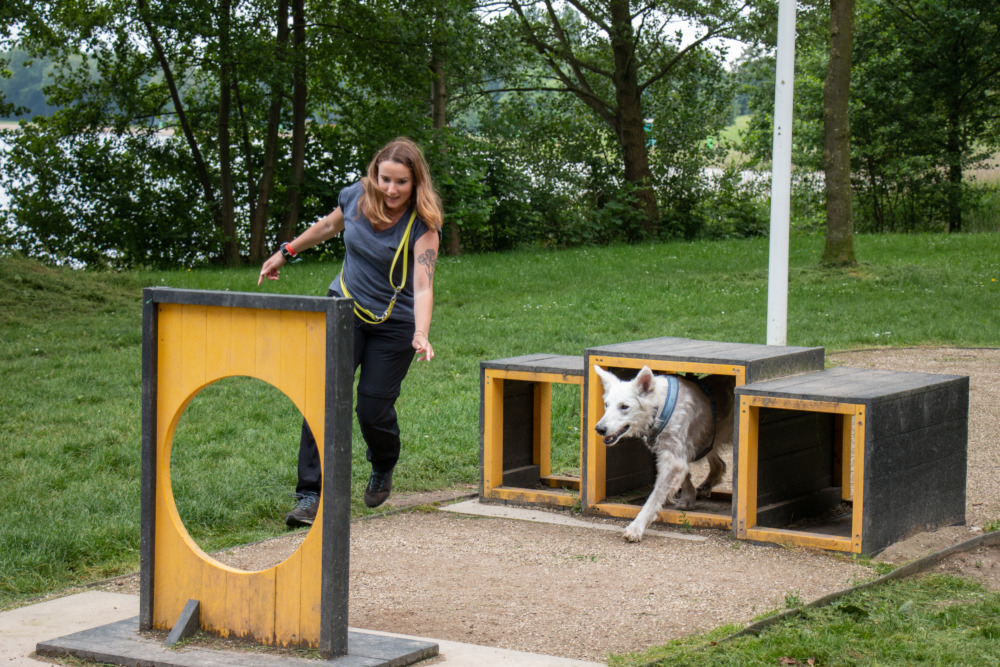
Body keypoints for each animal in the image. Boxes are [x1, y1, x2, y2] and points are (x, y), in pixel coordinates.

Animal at [592, 366, 736, 544]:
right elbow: (685, 475)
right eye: (606, 405)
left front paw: (636, 527)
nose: (599, 429)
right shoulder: (675, 453)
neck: (658, 407)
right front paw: (688, 498)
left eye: (624, 406)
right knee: (720, 465)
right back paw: (705, 486)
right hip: (708, 440)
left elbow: (654, 498)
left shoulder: (673, 458)